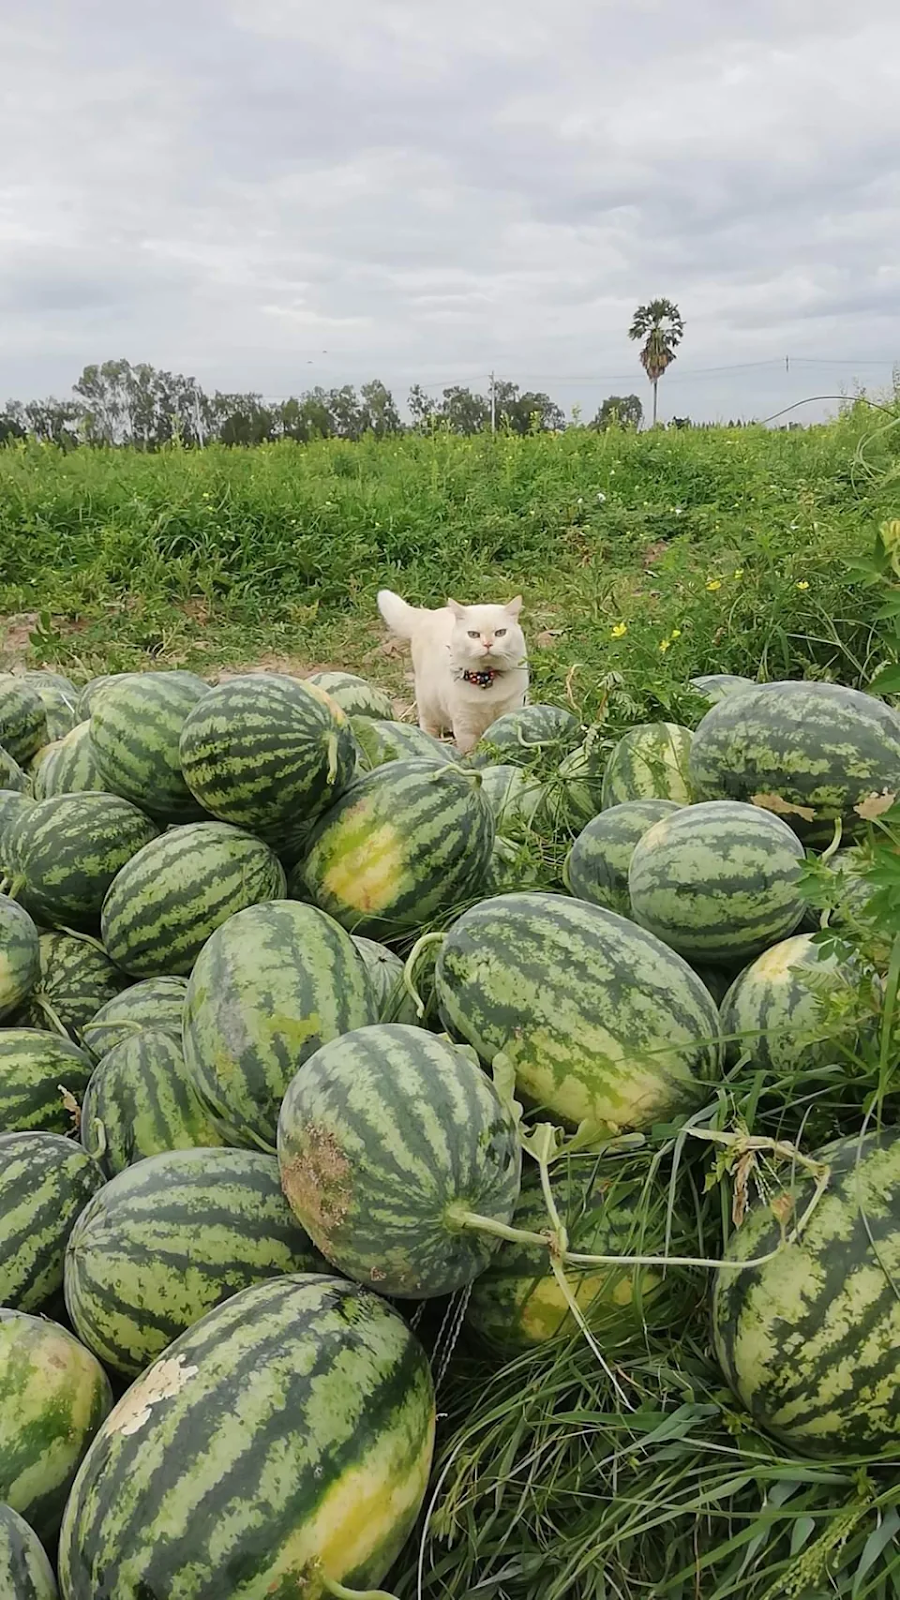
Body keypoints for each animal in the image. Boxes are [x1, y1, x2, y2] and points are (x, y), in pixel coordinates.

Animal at [376, 595, 525, 755]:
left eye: (500, 633)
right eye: (473, 635)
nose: (487, 644)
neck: (486, 679)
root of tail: (429, 613)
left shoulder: (511, 709)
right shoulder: (465, 727)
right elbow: (470, 753)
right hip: (427, 704)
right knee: (428, 726)